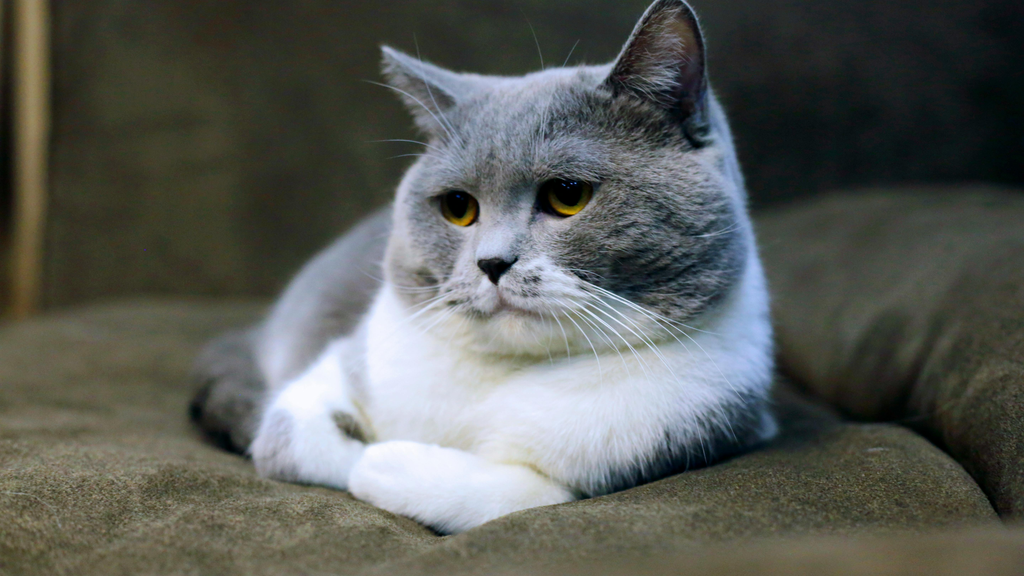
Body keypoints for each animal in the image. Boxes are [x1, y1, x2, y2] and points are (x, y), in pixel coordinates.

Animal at [190, 0, 774, 532]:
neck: (504, 378)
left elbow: (530, 494)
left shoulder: (710, 421)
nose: (492, 262)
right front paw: (373, 454)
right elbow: (294, 441)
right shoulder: (336, 370)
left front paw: (395, 464)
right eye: (458, 207)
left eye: (568, 195)